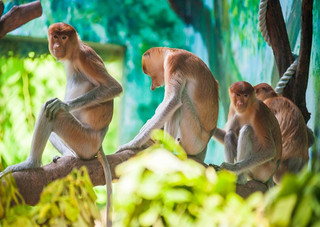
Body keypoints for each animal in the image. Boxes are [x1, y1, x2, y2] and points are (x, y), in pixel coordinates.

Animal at [0, 22, 122, 225]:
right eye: (55, 37)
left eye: (64, 38)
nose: (57, 46)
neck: (74, 52)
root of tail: (99, 143)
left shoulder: (84, 58)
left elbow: (113, 87)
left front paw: (62, 104)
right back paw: (68, 156)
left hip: (84, 140)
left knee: (51, 114)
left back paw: (31, 163)